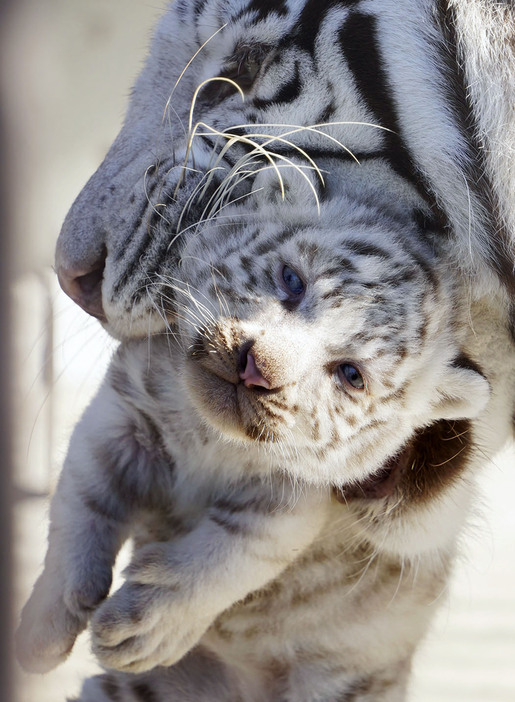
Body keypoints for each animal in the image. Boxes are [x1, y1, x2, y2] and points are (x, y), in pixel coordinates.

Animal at [17, 1, 515, 702]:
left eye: (352, 375)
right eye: (289, 282)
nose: (71, 279)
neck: (207, 436)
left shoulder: (295, 497)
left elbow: (236, 552)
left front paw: (146, 625)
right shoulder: (117, 418)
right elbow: (77, 511)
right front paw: (40, 629)